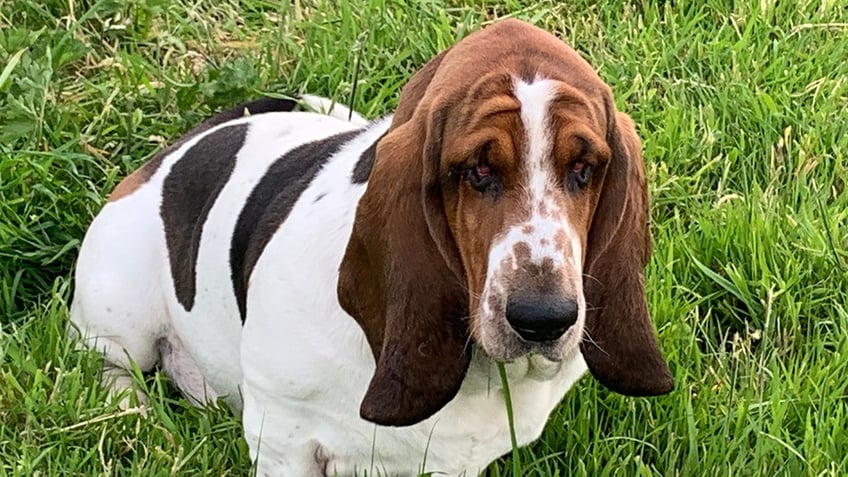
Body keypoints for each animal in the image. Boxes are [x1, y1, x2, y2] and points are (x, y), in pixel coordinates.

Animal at [71, 19, 668, 476]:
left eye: (584, 168)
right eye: (476, 170)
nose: (543, 319)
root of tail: (176, 148)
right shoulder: (282, 436)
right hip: (119, 318)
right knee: (110, 364)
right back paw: (134, 412)